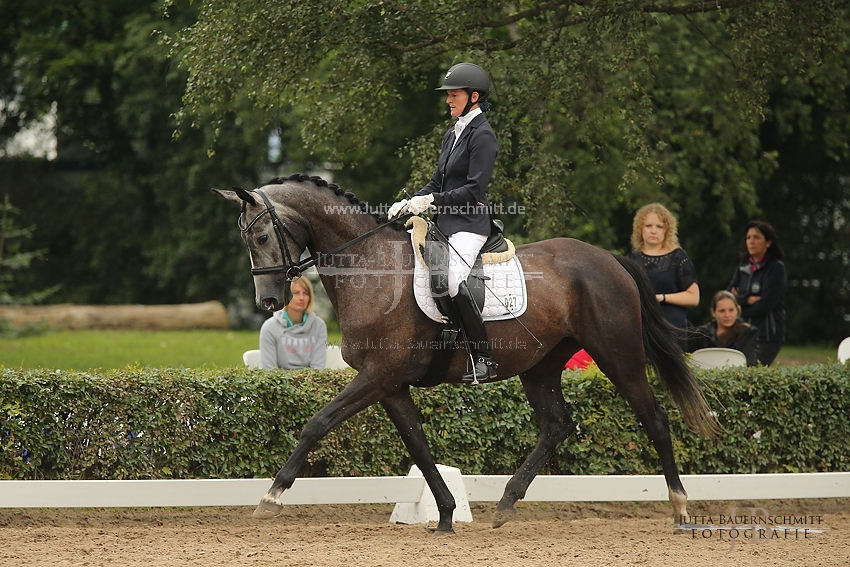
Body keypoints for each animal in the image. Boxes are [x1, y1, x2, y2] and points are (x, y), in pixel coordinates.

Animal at [215, 173, 720, 532]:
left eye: (262, 238)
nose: (268, 303)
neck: (371, 269)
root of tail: (609, 258)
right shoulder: (390, 385)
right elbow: (418, 446)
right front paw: (443, 515)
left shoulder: (378, 376)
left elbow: (317, 423)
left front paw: (270, 497)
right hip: (541, 365)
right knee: (556, 425)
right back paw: (505, 504)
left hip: (618, 354)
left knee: (654, 419)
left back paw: (679, 507)